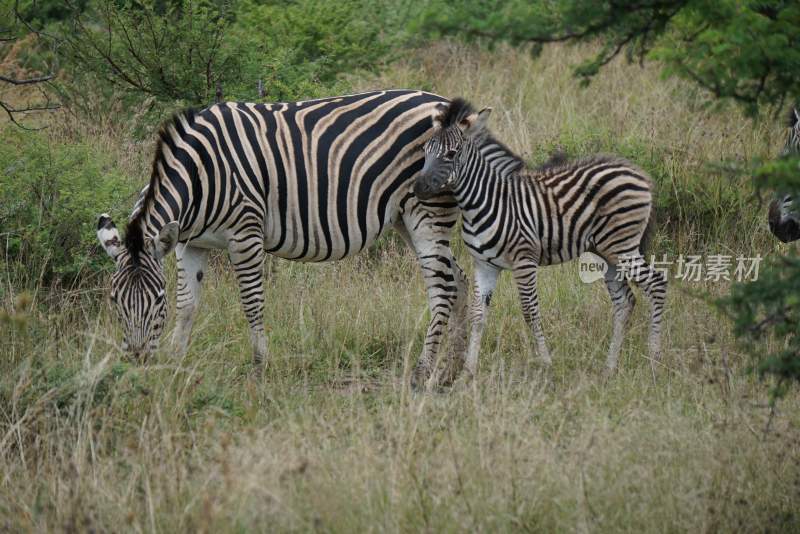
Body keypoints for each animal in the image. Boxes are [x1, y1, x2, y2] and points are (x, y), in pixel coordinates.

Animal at [95, 90, 468, 388]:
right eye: (114, 300)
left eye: (158, 299)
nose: (139, 364)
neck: (200, 174)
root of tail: (442, 102)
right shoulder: (190, 243)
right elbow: (188, 305)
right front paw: (176, 364)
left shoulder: (245, 233)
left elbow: (252, 301)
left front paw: (259, 369)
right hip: (406, 219)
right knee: (459, 280)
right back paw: (452, 372)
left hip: (426, 212)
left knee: (443, 288)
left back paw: (422, 373)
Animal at [412, 98, 668, 378]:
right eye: (425, 150)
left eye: (451, 153)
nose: (417, 187)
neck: (484, 200)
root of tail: (637, 173)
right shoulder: (484, 264)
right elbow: (478, 315)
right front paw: (469, 372)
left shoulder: (524, 260)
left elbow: (530, 311)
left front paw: (546, 363)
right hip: (607, 252)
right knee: (624, 301)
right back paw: (609, 368)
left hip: (623, 247)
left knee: (657, 283)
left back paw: (654, 361)